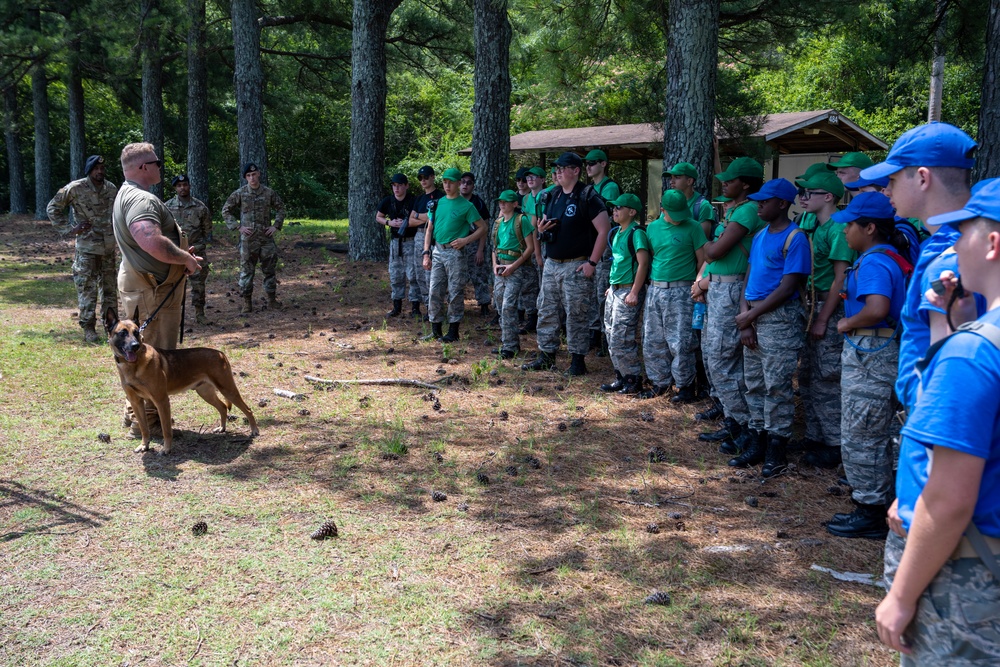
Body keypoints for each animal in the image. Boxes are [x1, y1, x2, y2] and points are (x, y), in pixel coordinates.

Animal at [104, 306, 260, 454]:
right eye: (123, 333)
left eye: (136, 332)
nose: (135, 345)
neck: (133, 365)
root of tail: (221, 353)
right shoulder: (136, 402)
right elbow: (144, 428)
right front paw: (144, 445)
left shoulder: (161, 401)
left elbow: (166, 429)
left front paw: (166, 449)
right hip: (205, 392)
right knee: (222, 407)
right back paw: (222, 428)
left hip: (227, 389)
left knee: (247, 409)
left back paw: (254, 430)